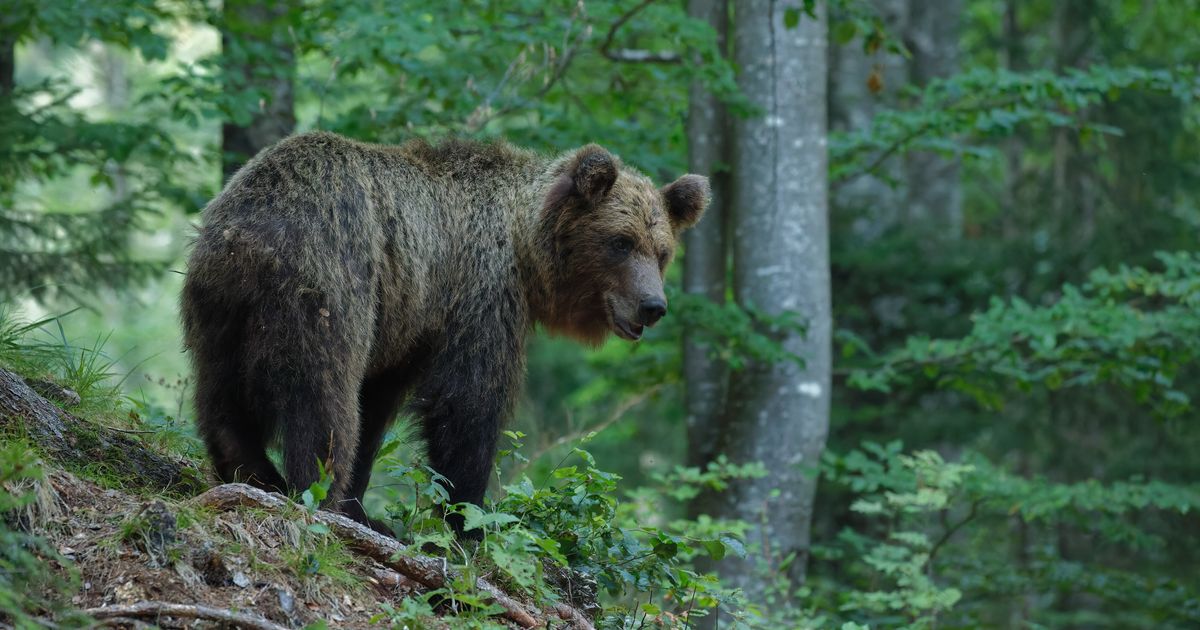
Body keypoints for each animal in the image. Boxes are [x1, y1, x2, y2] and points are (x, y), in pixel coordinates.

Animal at [182, 131, 705, 530]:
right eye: (621, 242)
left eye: (661, 251)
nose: (653, 305)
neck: (524, 247)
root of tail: (252, 228)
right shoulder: (480, 292)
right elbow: (468, 402)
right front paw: (468, 518)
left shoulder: (405, 326)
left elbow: (377, 405)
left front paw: (364, 506)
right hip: (330, 278)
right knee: (323, 395)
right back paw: (314, 492)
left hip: (221, 303)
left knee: (220, 392)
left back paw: (253, 472)